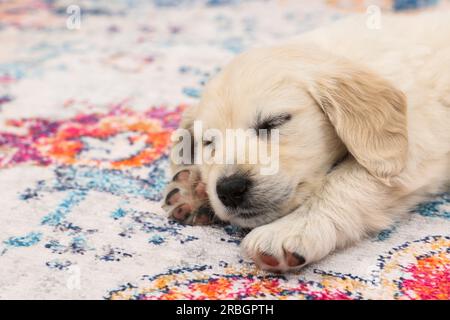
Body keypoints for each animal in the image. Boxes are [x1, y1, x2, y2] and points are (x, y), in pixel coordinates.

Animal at [162, 12, 450, 272]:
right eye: (209, 142)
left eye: (274, 123)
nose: (230, 189)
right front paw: (194, 190)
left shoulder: (418, 140)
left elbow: (346, 181)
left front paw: (289, 229)